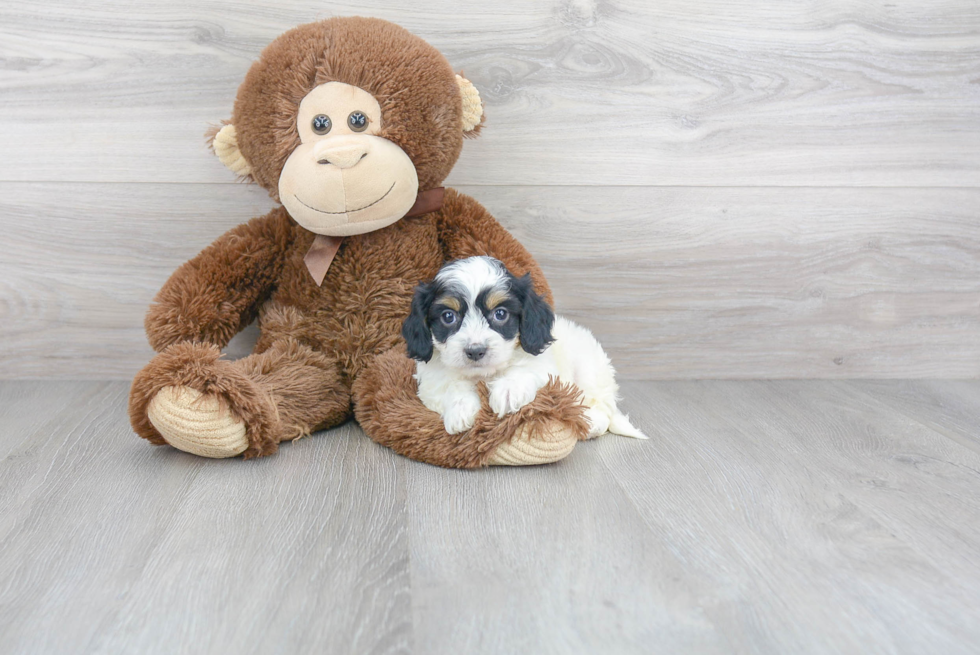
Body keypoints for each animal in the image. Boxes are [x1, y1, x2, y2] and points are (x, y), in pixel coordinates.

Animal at [398, 258, 644, 440]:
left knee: (601, 410)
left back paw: (589, 422)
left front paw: (508, 391)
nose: (475, 351)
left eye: (500, 314)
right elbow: (450, 386)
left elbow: (523, 370)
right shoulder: (431, 382)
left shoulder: (543, 366)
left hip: (589, 369)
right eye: (448, 317)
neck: (485, 374)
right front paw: (460, 409)